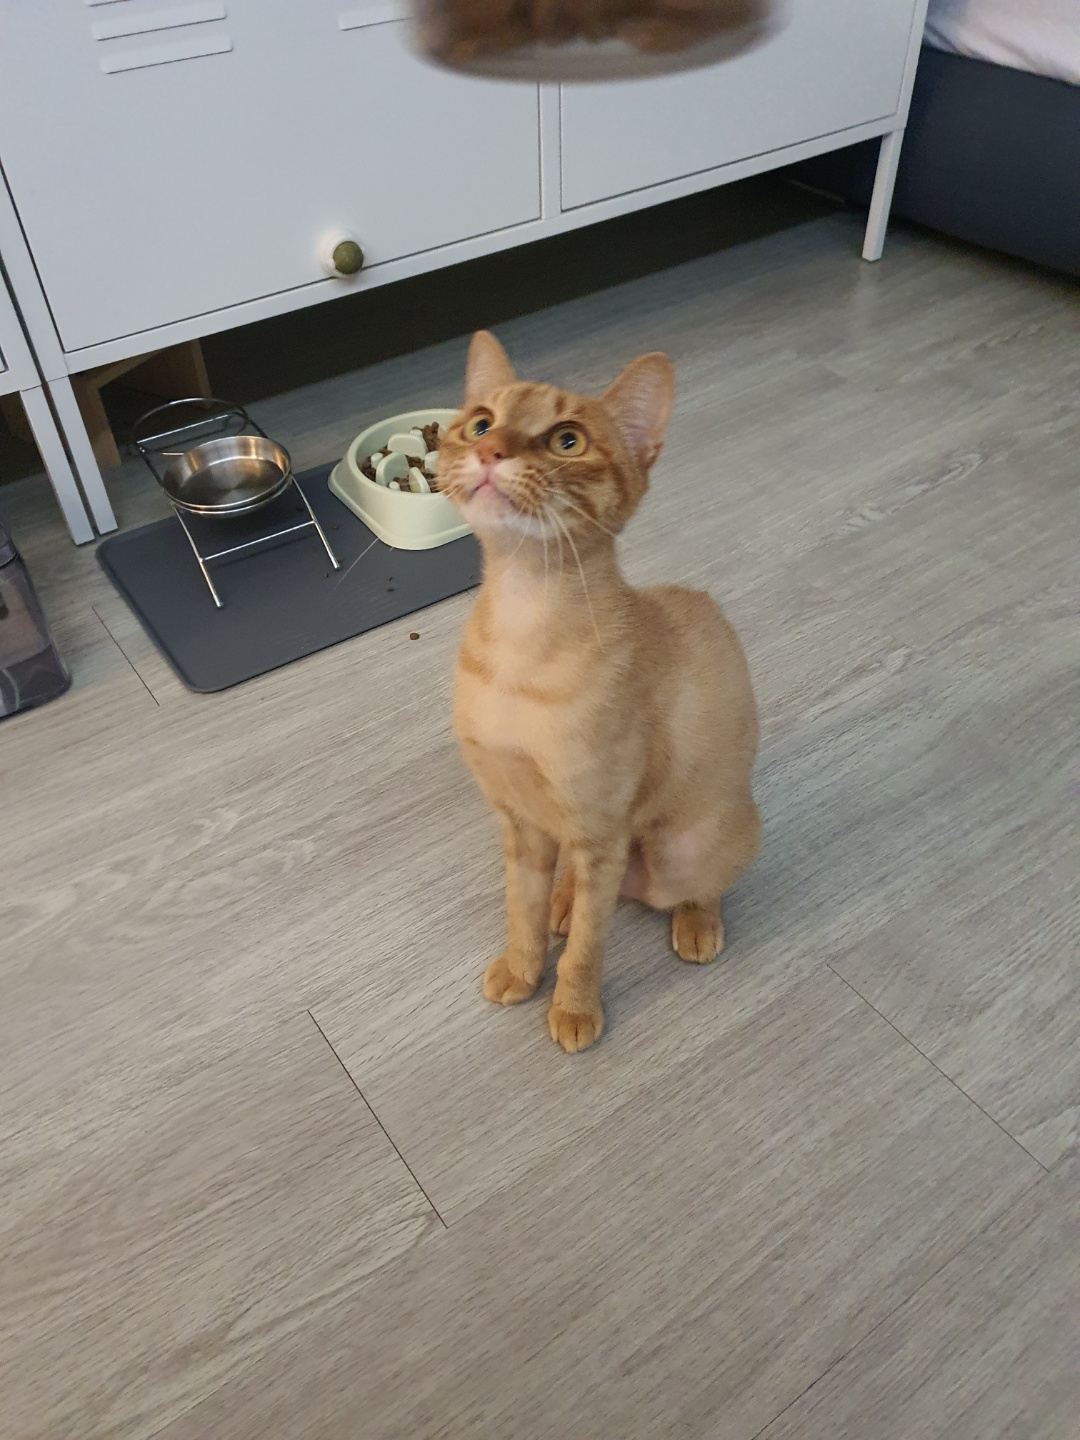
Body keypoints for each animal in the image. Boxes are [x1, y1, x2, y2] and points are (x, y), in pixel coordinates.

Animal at [440, 331, 760, 1052]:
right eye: (481, 423)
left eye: (567, 441)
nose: (491, 451)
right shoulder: (523, 821)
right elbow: (523, 911)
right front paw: (522, 970)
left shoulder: (600, 828)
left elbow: (589, 945)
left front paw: (575, 1008)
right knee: (581, 892)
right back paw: (563, 903)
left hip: (678, 848)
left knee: (700, 883)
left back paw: (696, 923)